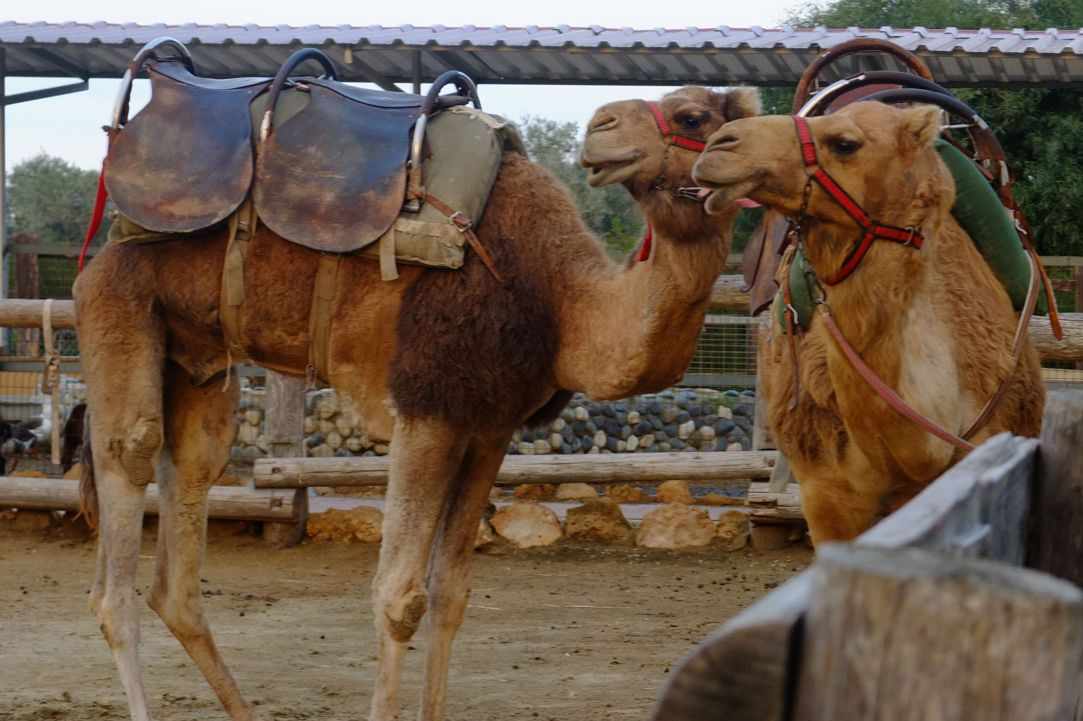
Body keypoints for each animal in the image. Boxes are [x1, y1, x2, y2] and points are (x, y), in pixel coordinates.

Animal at [73, 84, 761, 721]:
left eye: (695, 114)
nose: (603, 126)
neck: (561, 300)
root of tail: (104, 240)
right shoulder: (428, 408)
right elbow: (400, 596)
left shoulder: (489, 426)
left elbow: (452, 591)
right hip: (118, 305)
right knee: (124, 506)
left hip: (197, 364)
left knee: (183, 533)